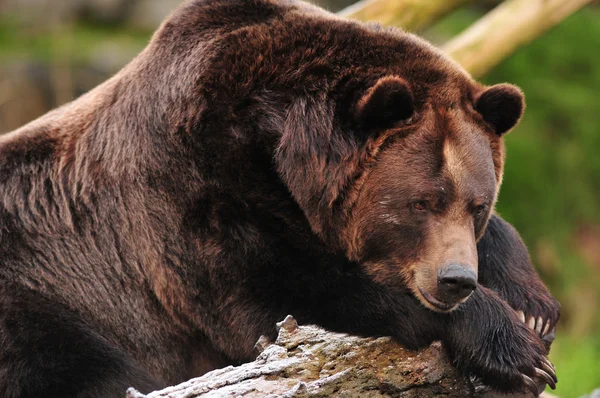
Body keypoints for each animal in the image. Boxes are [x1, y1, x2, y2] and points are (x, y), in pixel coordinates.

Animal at [1, 0, 556, 396]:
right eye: (419, 203)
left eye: (477, 205)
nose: (456, 280)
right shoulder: (193, 196)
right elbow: (287, 293)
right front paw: (515, 349)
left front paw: (532, 305)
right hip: (43, 294)